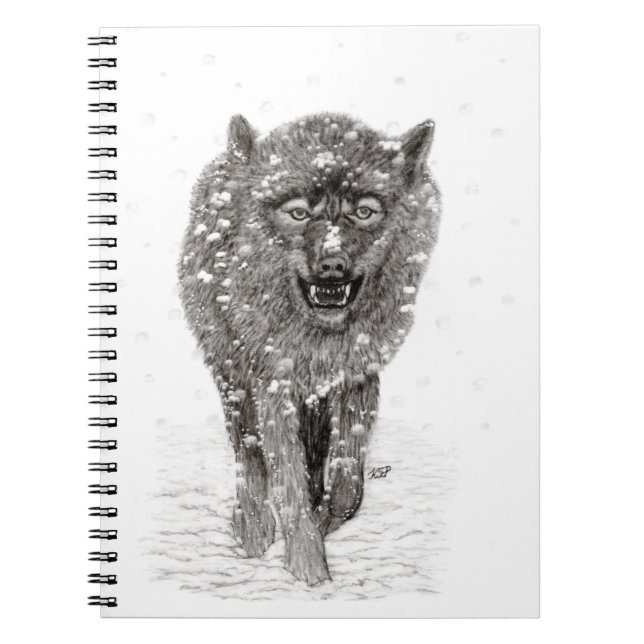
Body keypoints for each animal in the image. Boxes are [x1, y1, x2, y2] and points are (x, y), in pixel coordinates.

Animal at [178, 112, 441, 585]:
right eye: (298, 212)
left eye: (364, 211)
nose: (332, 265)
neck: (321, 340)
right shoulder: (273, 386)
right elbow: (287, 480)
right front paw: (306, 566)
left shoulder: (358, 377)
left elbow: (347, 483)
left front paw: (321, 523)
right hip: (232, 377)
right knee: (247, 453)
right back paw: (252, 527)